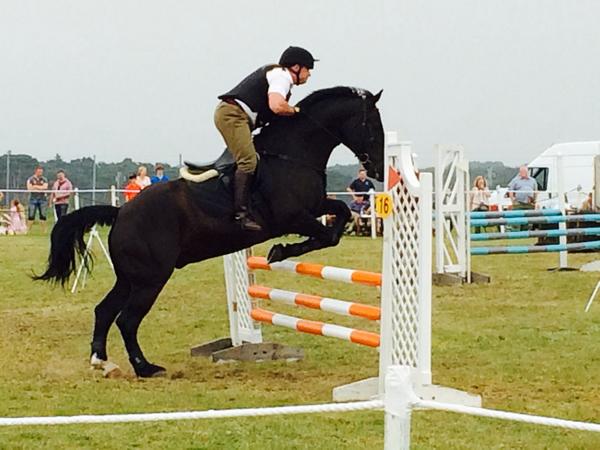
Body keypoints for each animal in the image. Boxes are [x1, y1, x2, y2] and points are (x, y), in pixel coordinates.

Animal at [34, 86, 384, 378]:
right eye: (372, 126)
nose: (379, 170)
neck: (292, 154)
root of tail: (121, 213)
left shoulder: (314, 207)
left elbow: (338, 218)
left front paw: (282, 251)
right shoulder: (291, 217)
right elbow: (327, 236)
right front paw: (280, 251)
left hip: (131, 277)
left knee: (105, 310)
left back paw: (102, 362)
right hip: (151, 278)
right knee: (127, 319)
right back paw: (145, 368)